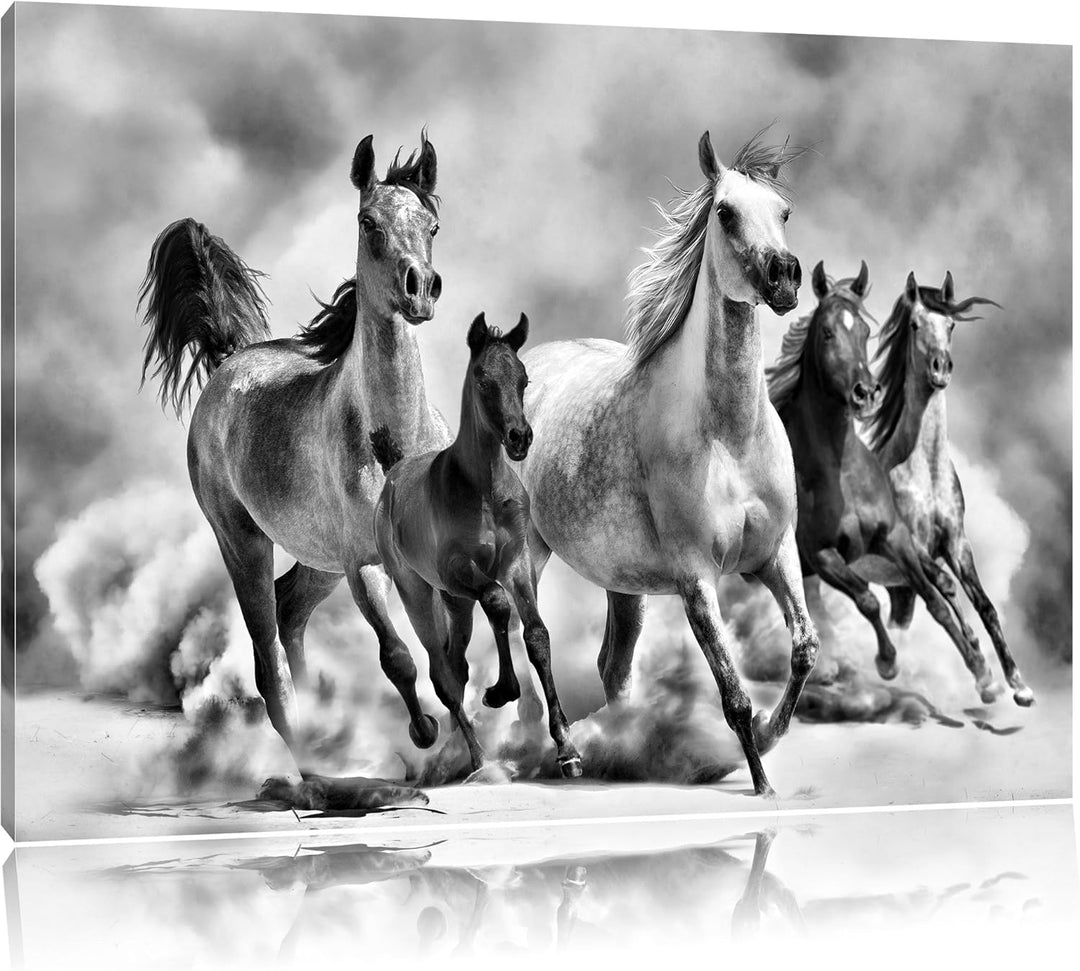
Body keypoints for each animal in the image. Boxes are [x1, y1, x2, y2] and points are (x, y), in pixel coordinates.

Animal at [138, 131, 453, 774]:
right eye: (367, 222)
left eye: (432, 224)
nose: (420, 288)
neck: (394, 441)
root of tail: (230, 360)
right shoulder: (365, 566)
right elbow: (400, 656)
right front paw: (426, 732)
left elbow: (446, 653)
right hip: (245, 544)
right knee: (269, 659)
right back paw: (314, 768)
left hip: (317, 559)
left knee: (291, 612)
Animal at [369, 312, 583, 778]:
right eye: (483, 379)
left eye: (523, 378)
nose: (520, 437)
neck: (484, 489)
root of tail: (393, 472)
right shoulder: (458, 568)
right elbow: (498, 602)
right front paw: (501, 691)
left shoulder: (517, 561)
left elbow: (536, 635)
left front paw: (567, 748)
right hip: (419, 592)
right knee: (441, 673)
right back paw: (477, 758)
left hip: (455, 603)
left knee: (456, 662)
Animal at [515, 128, 816, 798]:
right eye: (725, 212)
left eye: (784, 212)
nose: (784, 277)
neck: (729, 438)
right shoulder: (695, 577)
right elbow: (732, 694)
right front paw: (761, 782)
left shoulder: (776, 553)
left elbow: (805, 650)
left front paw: (771, 737)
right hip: (525, 552)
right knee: (537, 639)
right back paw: (572, 754)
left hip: (622, 582)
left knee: (614, 665)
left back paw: (627, 753)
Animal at [765, 261, 999, 702]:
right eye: (827, 332)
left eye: (864, 331)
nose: (866, 392)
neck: (840, 471)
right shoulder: (824, 556)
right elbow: (867, 600)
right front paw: (887, 662)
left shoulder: (898, 539)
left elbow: (937, 598)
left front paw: (984, 672)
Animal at [865, 271, 1033, 706]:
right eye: (914, 324)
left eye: (952, 325)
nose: (941, 368)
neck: (925, 472)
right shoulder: (914, 546)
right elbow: (946, 590)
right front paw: (984, 674)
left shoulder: (956, 542)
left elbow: (984, 604)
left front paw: (1018, 685)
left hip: (899, 586)